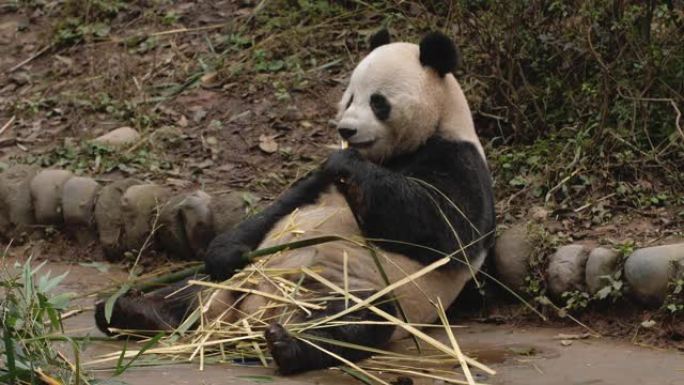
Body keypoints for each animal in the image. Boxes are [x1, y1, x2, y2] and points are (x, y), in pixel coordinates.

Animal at [95, 30, 492, 376]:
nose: (346, 130)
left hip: (355, 286)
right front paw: (223, 251)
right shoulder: (317, 185)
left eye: (378, 101)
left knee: (358, 317)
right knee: (191, 287)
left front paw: (347, 162)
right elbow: (281, 207)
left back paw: (289, 346)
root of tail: (245, 319)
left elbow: (440, 230)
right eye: (350, 97)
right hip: (237, 281)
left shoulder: (458, 161)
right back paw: (129, 309)